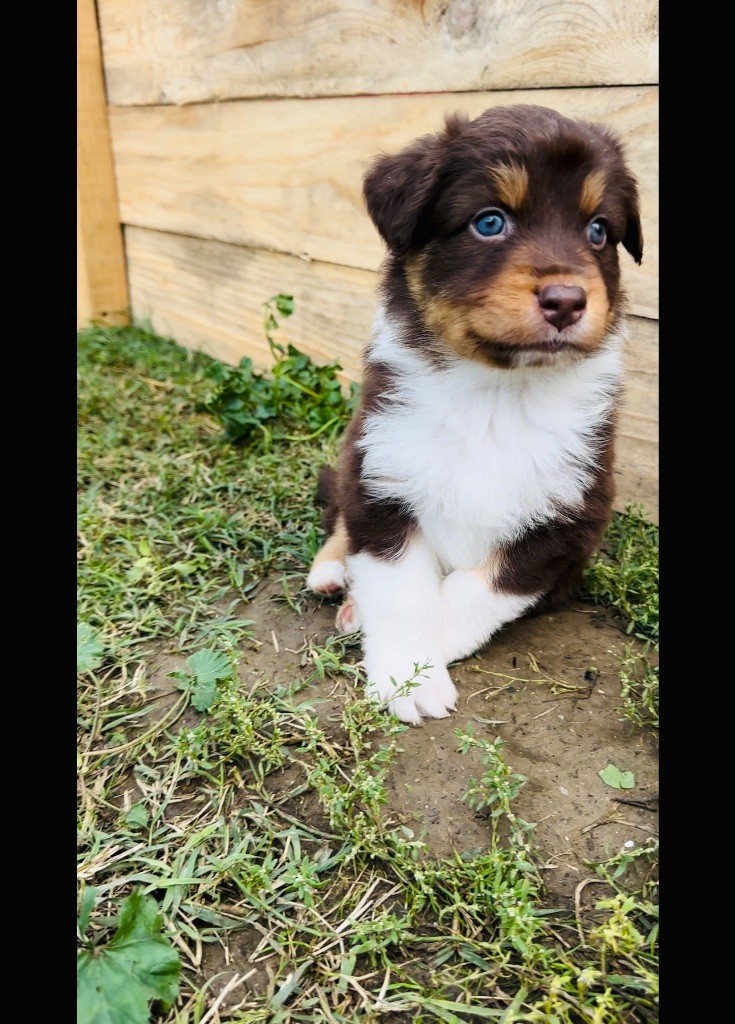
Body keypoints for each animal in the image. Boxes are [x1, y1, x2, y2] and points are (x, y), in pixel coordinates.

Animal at [305, 103, 646, 724]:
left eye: (598, 231)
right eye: (490, 223)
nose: (567, 301)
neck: (498, 393)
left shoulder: (566, 522)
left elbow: (478, 589)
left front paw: (419, 659)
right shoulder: (383, 480)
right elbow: (401, 590)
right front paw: (407, 675)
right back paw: (332, 572)